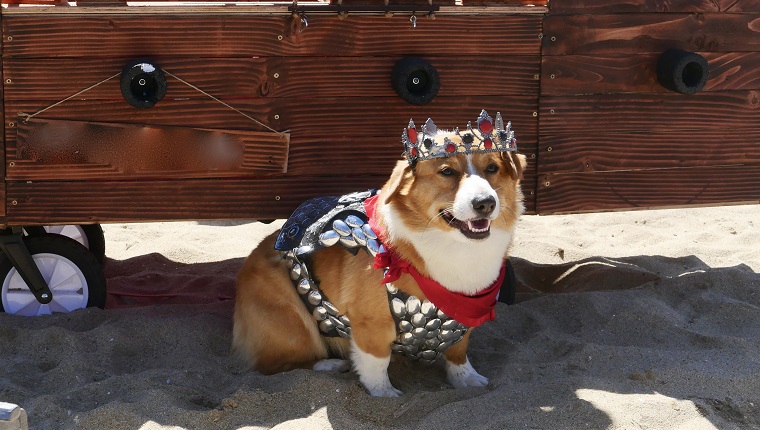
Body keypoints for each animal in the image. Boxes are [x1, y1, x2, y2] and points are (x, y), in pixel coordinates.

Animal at [235, 110, 524, 396]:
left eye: (492, 168)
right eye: (446, 171)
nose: (485, 203)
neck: (456, 249)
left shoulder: (464, 320)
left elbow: (458, 353)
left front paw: (467, 380)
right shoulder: (372, 323)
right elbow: (376, 362)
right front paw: (384, 394)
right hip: (293, 325)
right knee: (276, 364)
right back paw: (328, 365)